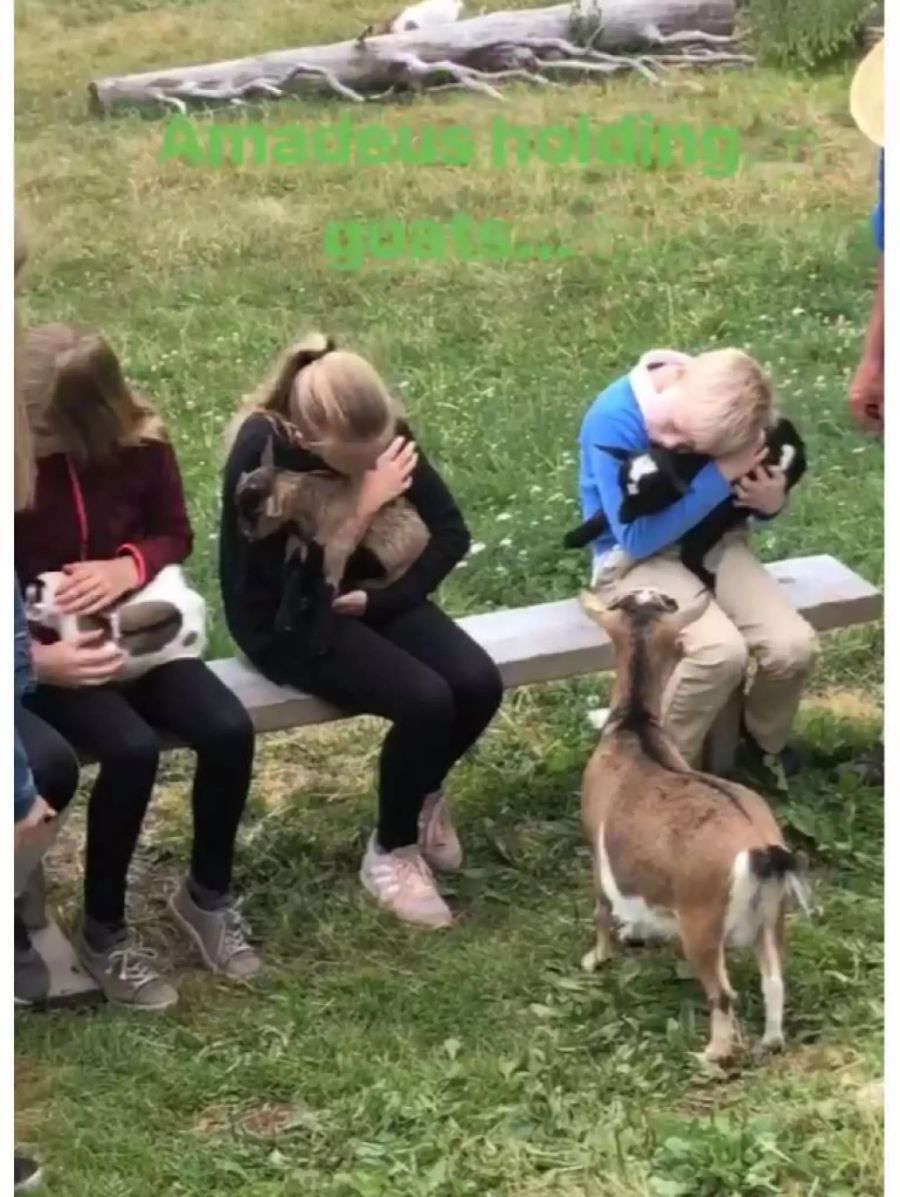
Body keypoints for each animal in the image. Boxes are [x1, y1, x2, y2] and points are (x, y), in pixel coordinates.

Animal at [562, 418, 809, 591]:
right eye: (621, 488)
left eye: (649, 500)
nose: (622, 518)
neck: (688, 466)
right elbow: (605, 514)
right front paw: (575, 537)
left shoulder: (713, 516)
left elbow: (687, 551)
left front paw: (709, 579)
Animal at [579, 584, 813, 1062]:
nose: (655, 592)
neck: (634, 727)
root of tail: (760, 848)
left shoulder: (596, 848)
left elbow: (601, 907)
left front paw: (598, 958)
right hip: (772, 916)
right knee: (774, 980)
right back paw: (770, 1041)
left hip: (701, 922)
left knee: (723, 993)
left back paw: (711, 1055)